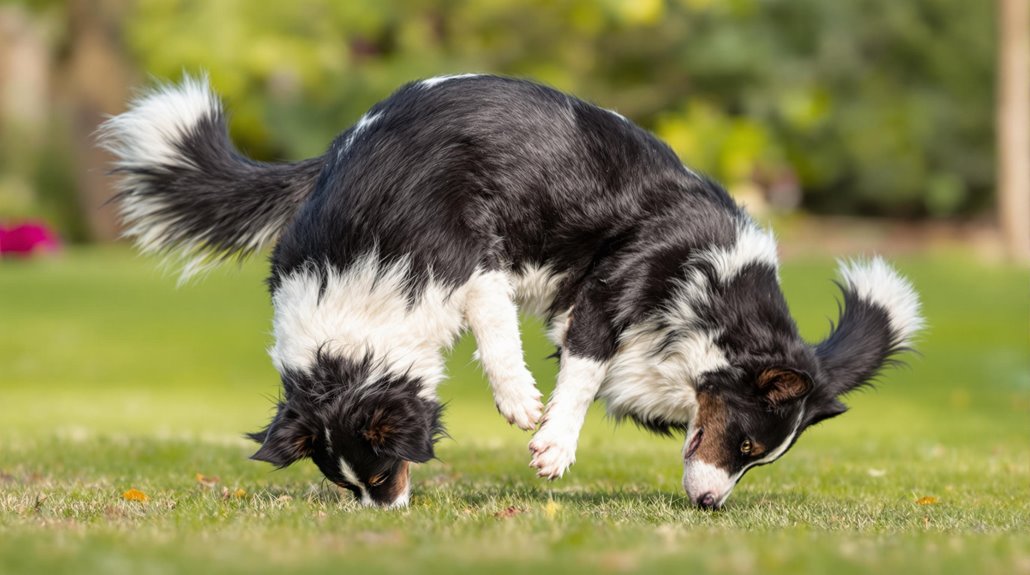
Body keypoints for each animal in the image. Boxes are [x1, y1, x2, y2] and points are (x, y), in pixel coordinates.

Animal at [100, 74, 922, 511]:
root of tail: (347, 136)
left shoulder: (507, 279)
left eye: (753, 452)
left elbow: (579, 367)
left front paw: (543, 425)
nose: (711, 507)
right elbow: (567, 361)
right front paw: (542, 425)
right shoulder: (544, 283)